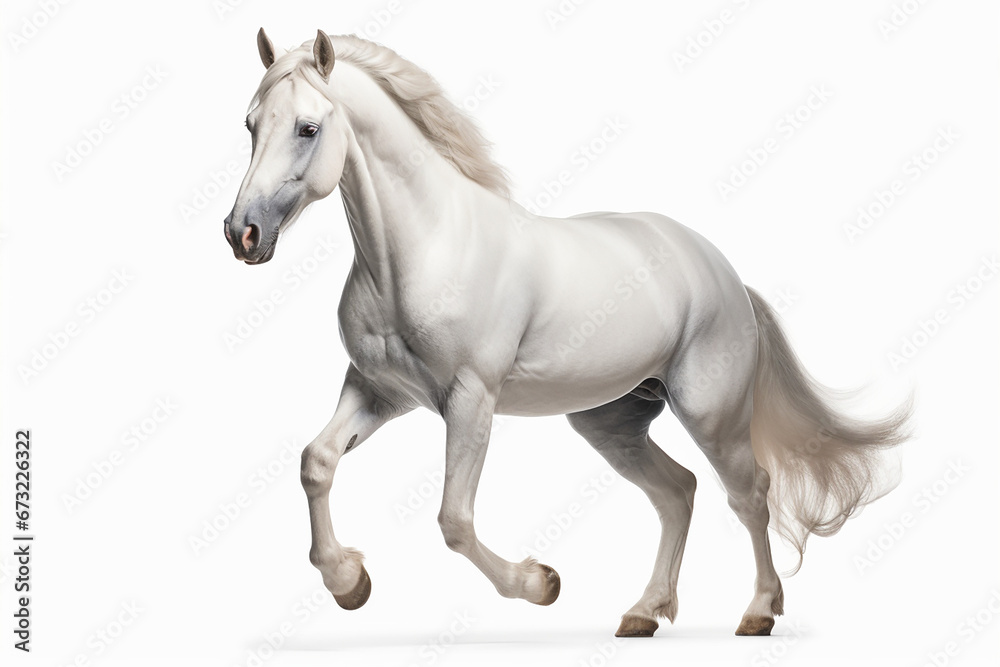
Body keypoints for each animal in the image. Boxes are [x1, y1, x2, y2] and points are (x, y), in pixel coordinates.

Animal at [223, 29, 912, 637]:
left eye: (308, 128)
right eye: (251, 124)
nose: (242, 234)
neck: (423, 251)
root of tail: (725, 274)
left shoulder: (470, 399)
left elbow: (454, 520)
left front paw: (541, 583)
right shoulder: (379, 390)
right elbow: (317, 462)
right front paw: (349, 582)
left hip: (710, 414)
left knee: (749, 493)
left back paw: (759, 612)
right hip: (611, 423)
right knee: (678, 491)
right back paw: (643, 614)